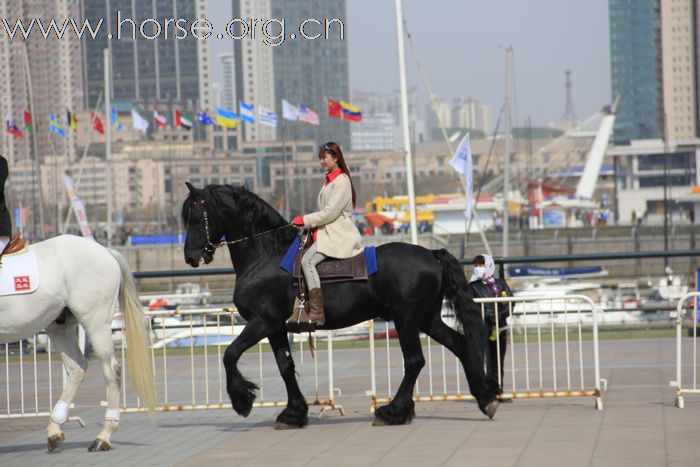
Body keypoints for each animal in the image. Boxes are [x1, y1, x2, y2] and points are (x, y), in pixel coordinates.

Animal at [0, 238, 156, 454]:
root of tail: (105, 250)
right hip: (60, 326)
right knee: (77, 367)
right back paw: (55, 430)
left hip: (95, 321)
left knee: (111, 370)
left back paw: (103, 436)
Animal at [180, 183, 498, 428]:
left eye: (195, 217)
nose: (190, 256)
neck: (267, 256)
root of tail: (432, 253)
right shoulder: (276, 327)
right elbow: (285, 366)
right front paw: (294, 413)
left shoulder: (262, 322)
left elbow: (230, 354)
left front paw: (242, 399)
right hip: (427, 319)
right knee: (459, 344)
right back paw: (485, 398)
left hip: (406, 320)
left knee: (414, 361)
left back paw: (393, 411)